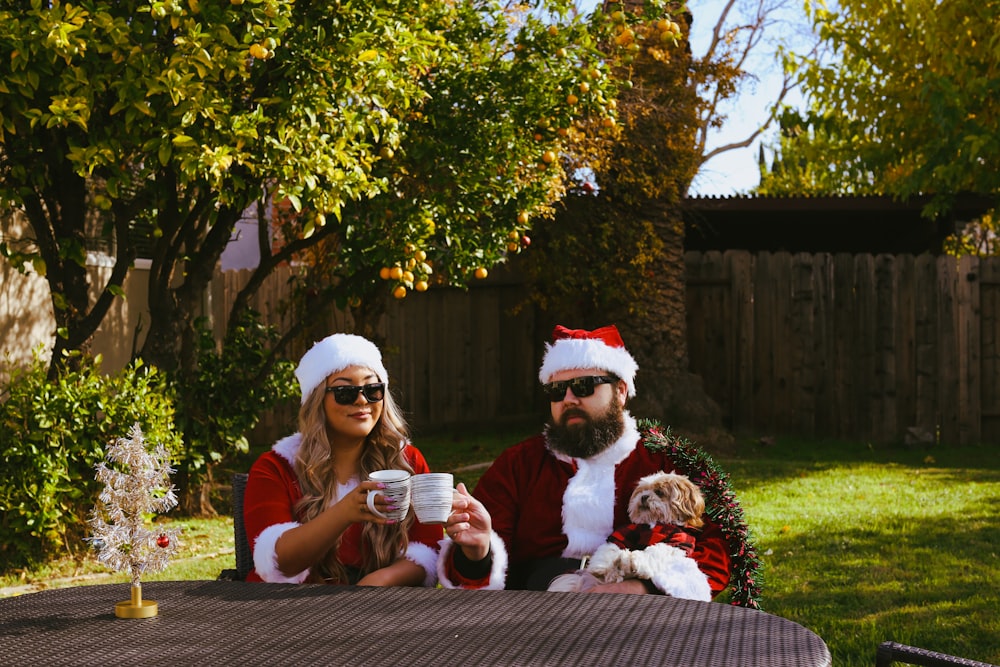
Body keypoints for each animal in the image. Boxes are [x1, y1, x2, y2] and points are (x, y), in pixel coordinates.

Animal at [548, 472, 712, 604]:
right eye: (642, 491)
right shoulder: (624, 533)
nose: (644, 497)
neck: (654, 523)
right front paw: (599, 566)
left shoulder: (678, 542)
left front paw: (636, 562)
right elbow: (610, 549)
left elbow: (654, 552)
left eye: (659, 492)